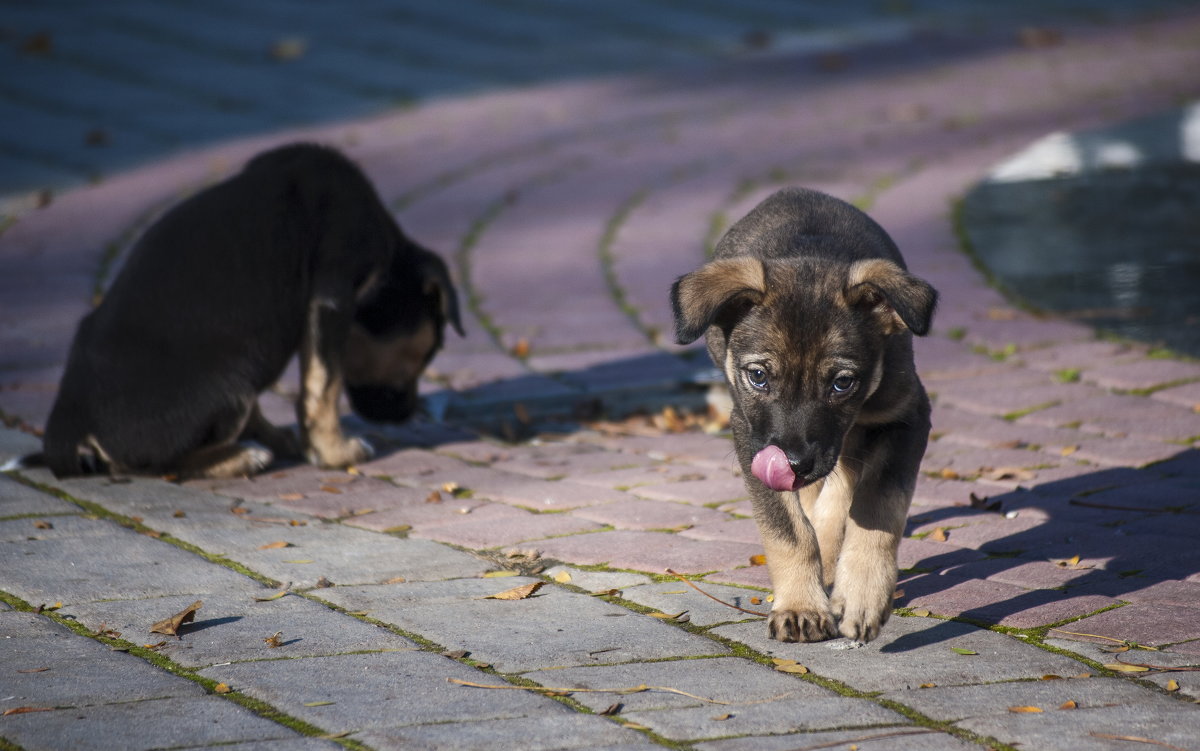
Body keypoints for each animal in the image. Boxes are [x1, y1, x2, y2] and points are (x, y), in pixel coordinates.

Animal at [42, 143, 463, 477]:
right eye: (426, 354)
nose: (407, 414)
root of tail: (69, 418)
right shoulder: (332, 296)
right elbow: (324, 384)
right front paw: (333, 453)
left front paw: (288, 439)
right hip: (232, 379)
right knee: (154, 464)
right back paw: (240, 458)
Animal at [676, 185, 936, 638]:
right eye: (758, 376)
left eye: (842, 383)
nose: (794, 463)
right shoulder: (750, 436)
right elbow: (789, 529)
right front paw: (801, 606)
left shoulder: (907, 415)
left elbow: (878, 503)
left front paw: (862, 594)